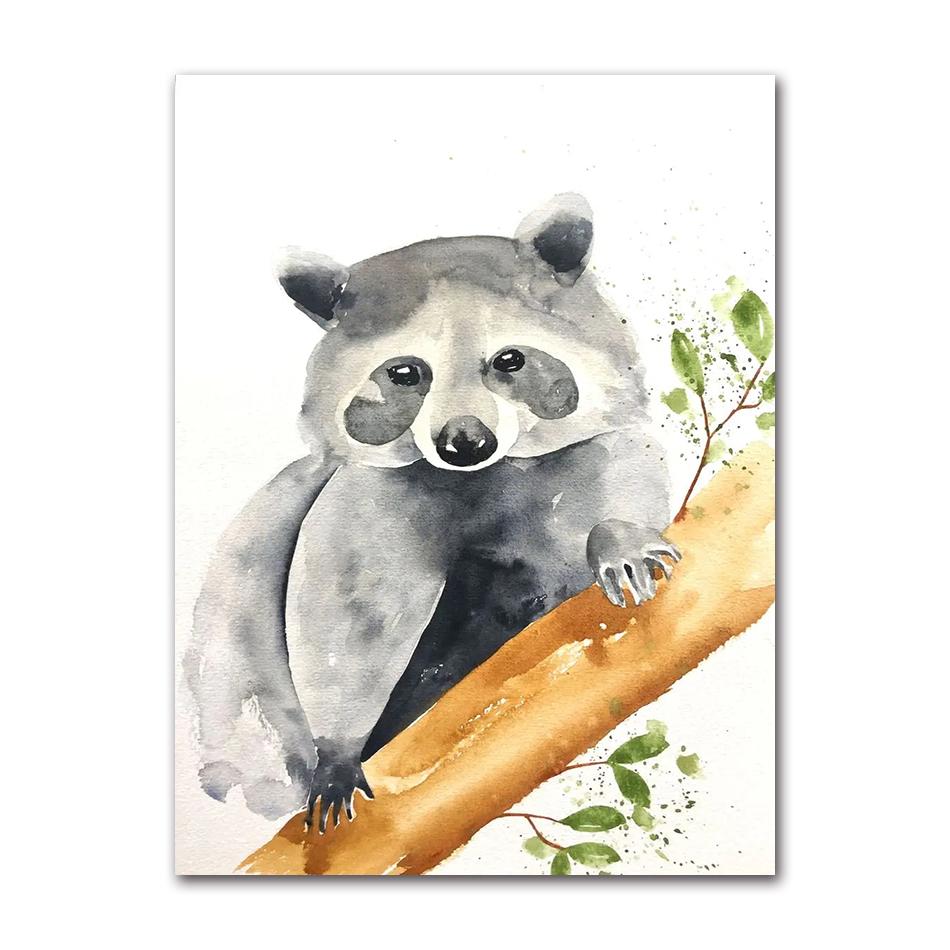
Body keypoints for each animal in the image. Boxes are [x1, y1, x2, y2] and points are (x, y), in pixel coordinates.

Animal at [184, 194, 679, 833]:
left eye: (509, 360)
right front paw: (337, 747)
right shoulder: (370, 501)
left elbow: (631, 482)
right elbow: (345, 621)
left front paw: (620, 540)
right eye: (406, 372)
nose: (463, 441)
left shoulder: (591, 453)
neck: (484, 473)